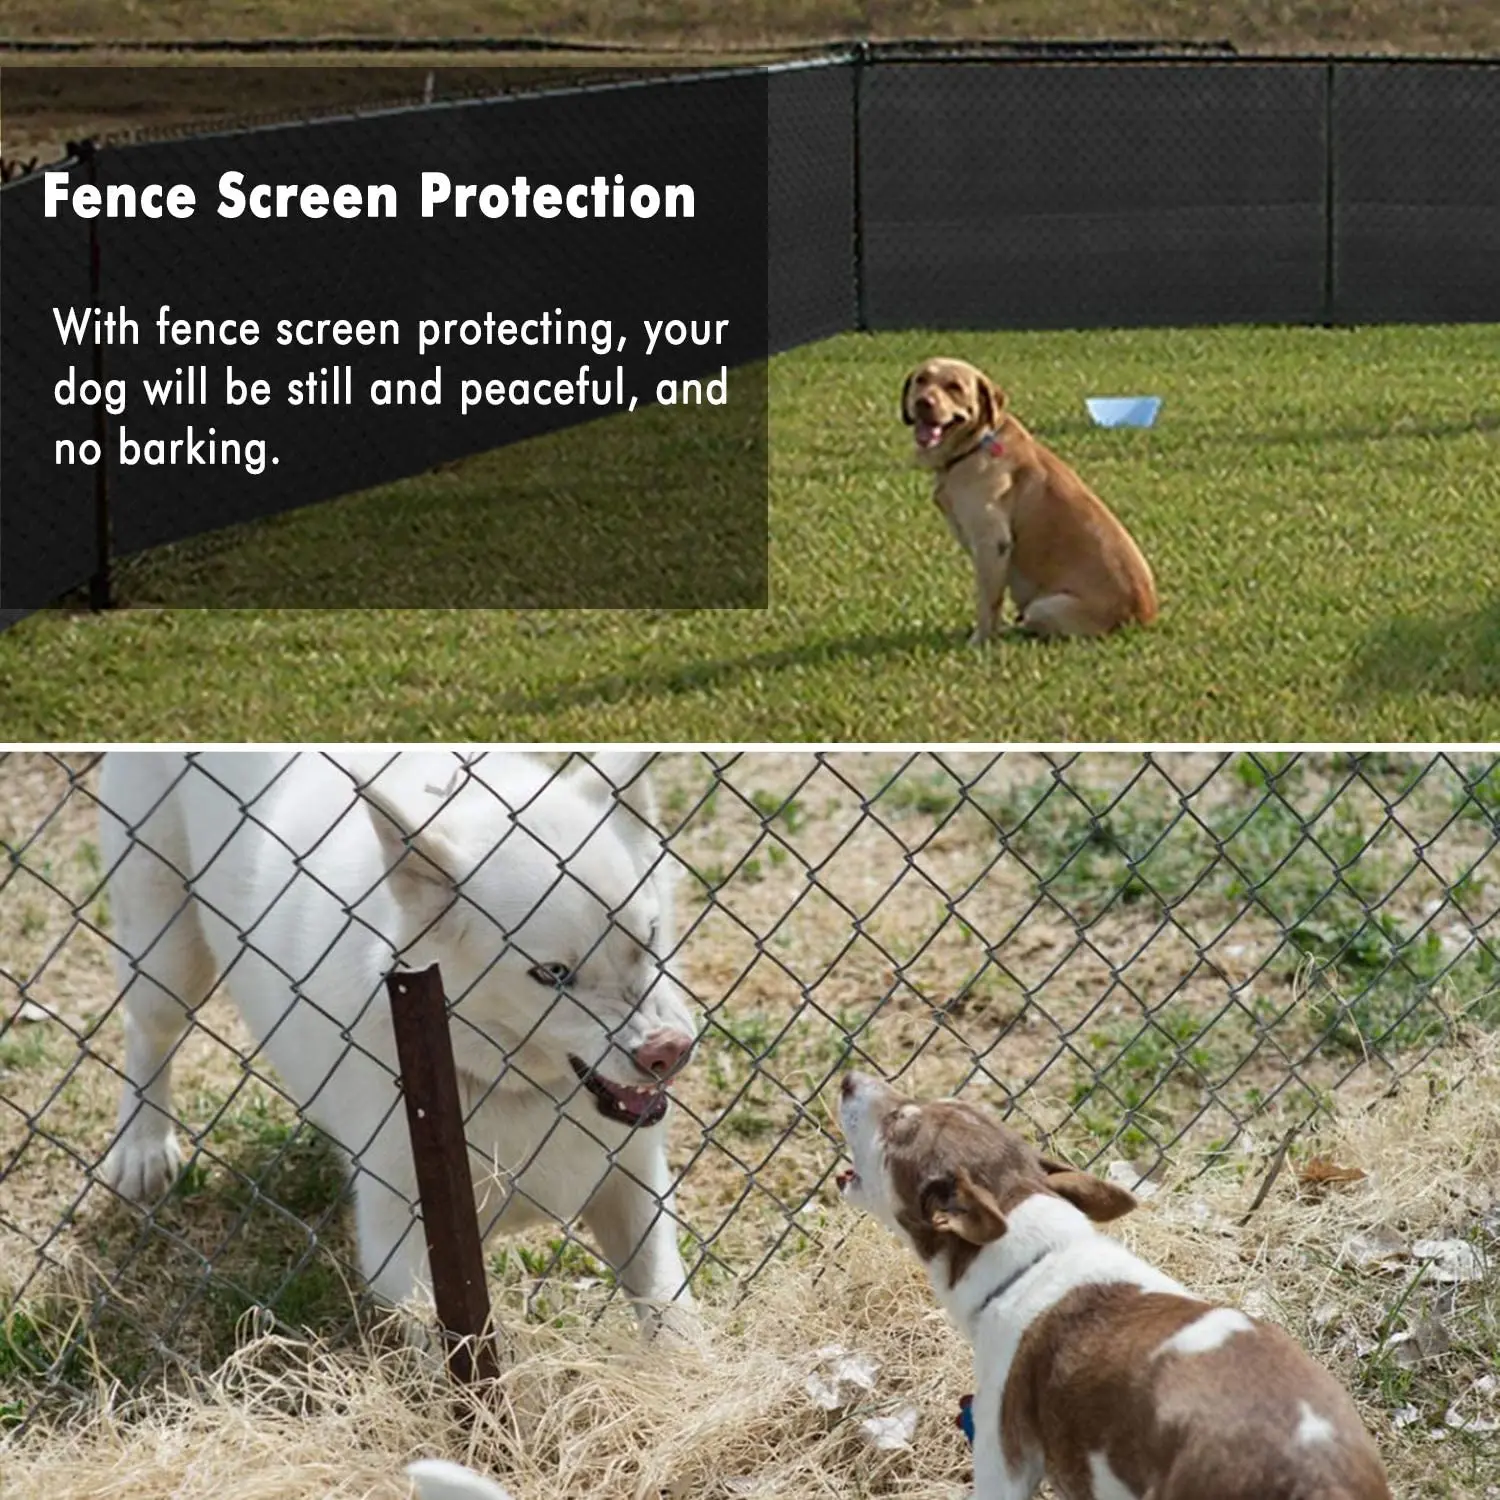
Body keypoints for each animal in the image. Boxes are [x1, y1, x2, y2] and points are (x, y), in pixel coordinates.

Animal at [99, 750, 696, 1338]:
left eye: (649, 936)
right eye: (551, 973)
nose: (670, 1050)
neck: (507, 1085)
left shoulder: (637, 1190)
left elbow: (674, 1319)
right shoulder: (402, 1253)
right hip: (167, 954)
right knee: (147, 1032)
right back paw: (142, 1148)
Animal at [900, 364, 1158, 651]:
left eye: (954, 386)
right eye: (921, 379)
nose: (923, 402)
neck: (977, 443)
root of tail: (1143, 619)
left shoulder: (993, 543)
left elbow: (988, 602)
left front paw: (980, 641)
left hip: (1042, 607)